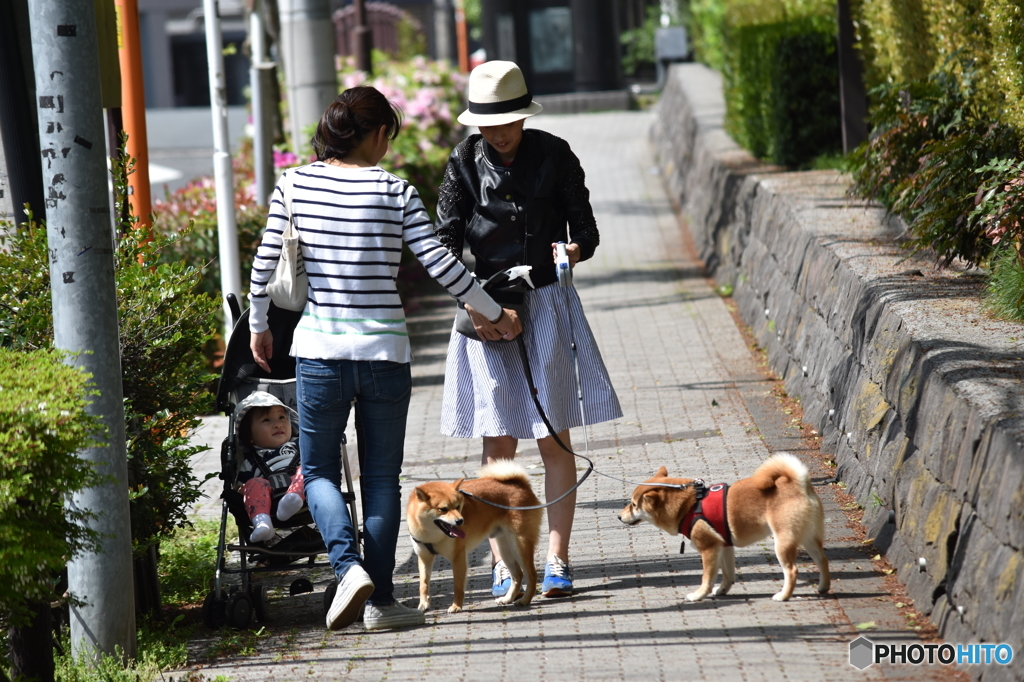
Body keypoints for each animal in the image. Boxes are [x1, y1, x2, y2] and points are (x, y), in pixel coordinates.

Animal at [405, 456, 544, 610]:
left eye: (458, 507)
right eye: (443, 509)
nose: (460, 521)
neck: (431, 533)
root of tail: (521, 484)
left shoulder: (458, 557)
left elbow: (458, 586)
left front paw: (456, 606)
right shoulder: (424, 558)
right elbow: (423, 584)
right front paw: (423, 604)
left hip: (519, 545)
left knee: (531, 574)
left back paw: (525, 600)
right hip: (504, 548)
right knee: (518, 575)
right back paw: (507, 599)